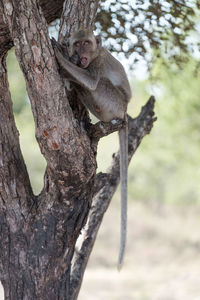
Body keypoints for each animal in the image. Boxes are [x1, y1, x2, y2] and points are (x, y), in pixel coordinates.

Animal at [52, 28, 132, 270]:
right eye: (78, 44)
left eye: (86, 43)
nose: (80, 53)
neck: (95, 54)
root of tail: (124, 113)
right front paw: (67, 58)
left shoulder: (96, 64)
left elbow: (93, 80)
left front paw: (60, 56)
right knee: (83, 87)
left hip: (113, 102)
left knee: (98, 84)